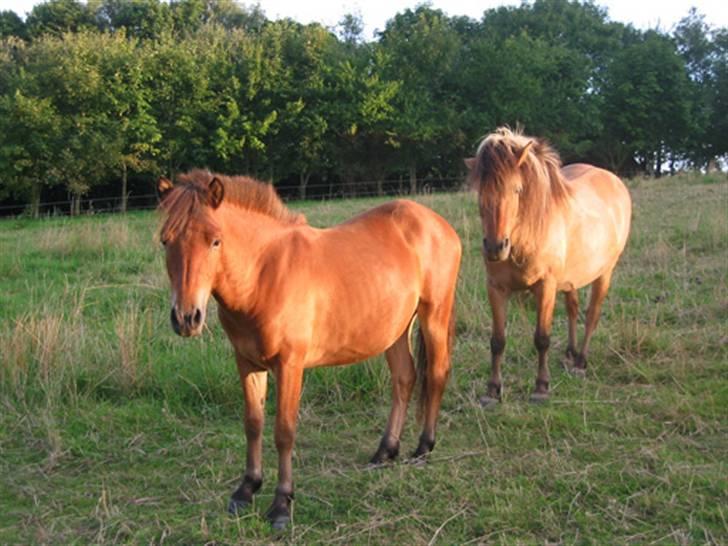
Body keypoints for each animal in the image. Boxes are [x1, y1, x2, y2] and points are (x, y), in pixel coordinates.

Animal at [156, 169, 460, 528]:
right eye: (165, 240)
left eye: (215, 240)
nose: (186, 318)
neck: (263, 276)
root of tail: (439, 224)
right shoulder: (246, 362)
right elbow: (253, 424)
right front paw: (246, 490)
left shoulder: (290, 364)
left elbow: (284, 431)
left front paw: (281, 505)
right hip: (395, 329)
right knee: (404, 379)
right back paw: (385, 451)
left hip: (434, 315)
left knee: (436, 374)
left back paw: (424, 448)